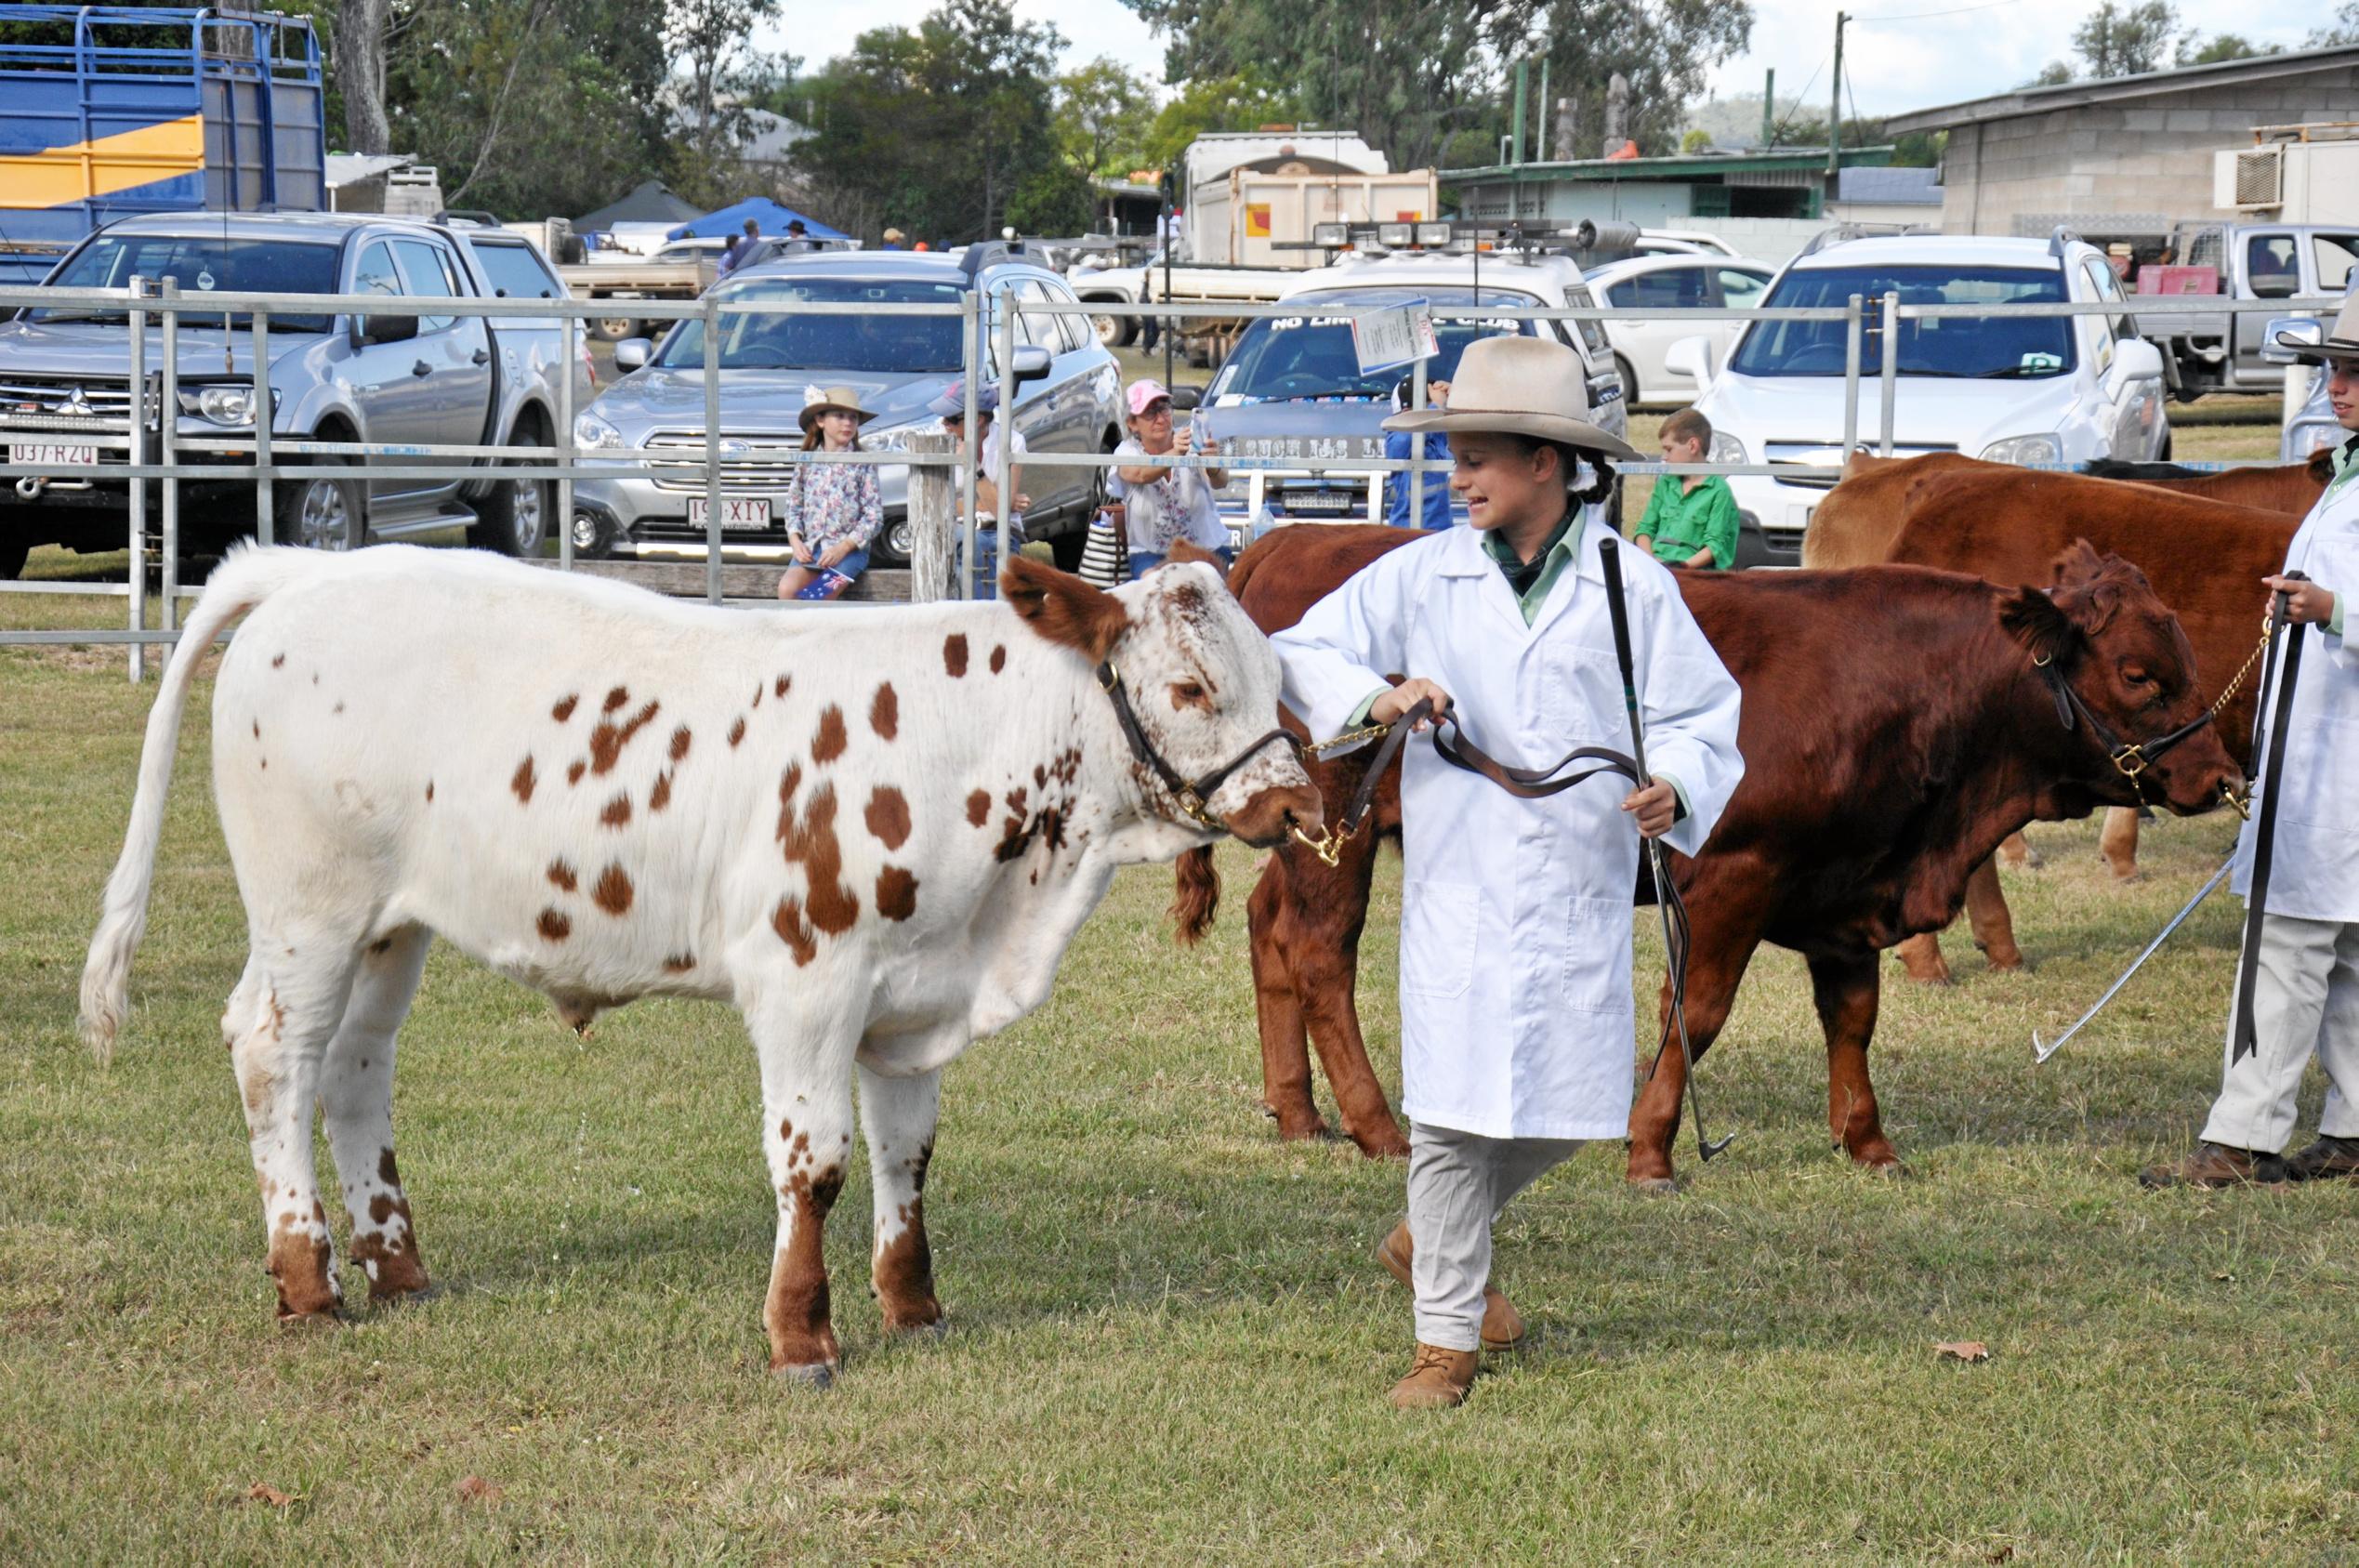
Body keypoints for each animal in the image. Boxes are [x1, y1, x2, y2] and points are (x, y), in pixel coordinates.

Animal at [83, 542, 1321, 1386]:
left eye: (1276, 677)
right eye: (1192, 688)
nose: (1296, 805)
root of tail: (310, 573)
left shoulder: (913, 999)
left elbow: (907, 1156)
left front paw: (914, 1306)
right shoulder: (807, 982)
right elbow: (815, 1162)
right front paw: (802, 1333)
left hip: (393, 926)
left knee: (354, 1066)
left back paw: (397, 1264)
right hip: (310, 911)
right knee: (273, 1052)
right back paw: (308, 1278)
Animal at [1189, 519, 2236, 1179]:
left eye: (2183, 655)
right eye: (2139, 674)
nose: (2221, 774)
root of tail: (1286, 539)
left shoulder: (1847, 887)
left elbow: (1853, 1016)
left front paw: (1869, 1143)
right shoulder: (1735, 876)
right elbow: (1698, 1009)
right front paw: (1651, 1147)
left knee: (1268, 929)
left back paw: (1299, 1114)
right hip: (1341, 830)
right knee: (1320, 952)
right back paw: (1377, 1127)